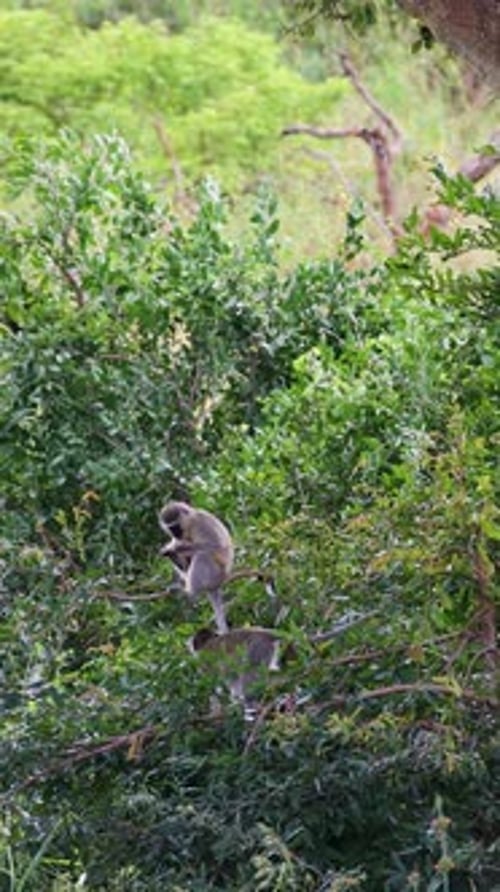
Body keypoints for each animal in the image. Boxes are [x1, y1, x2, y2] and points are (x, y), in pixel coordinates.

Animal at [159, 501, 234, 633]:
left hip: (216, 574)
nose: (175, 535)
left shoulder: (200, 523)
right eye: (170, 528)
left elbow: (215, 546)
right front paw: (170, 551)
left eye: (176, 526)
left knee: (202, 555)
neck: (190, 524)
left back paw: (189, 592)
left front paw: (176, 548)